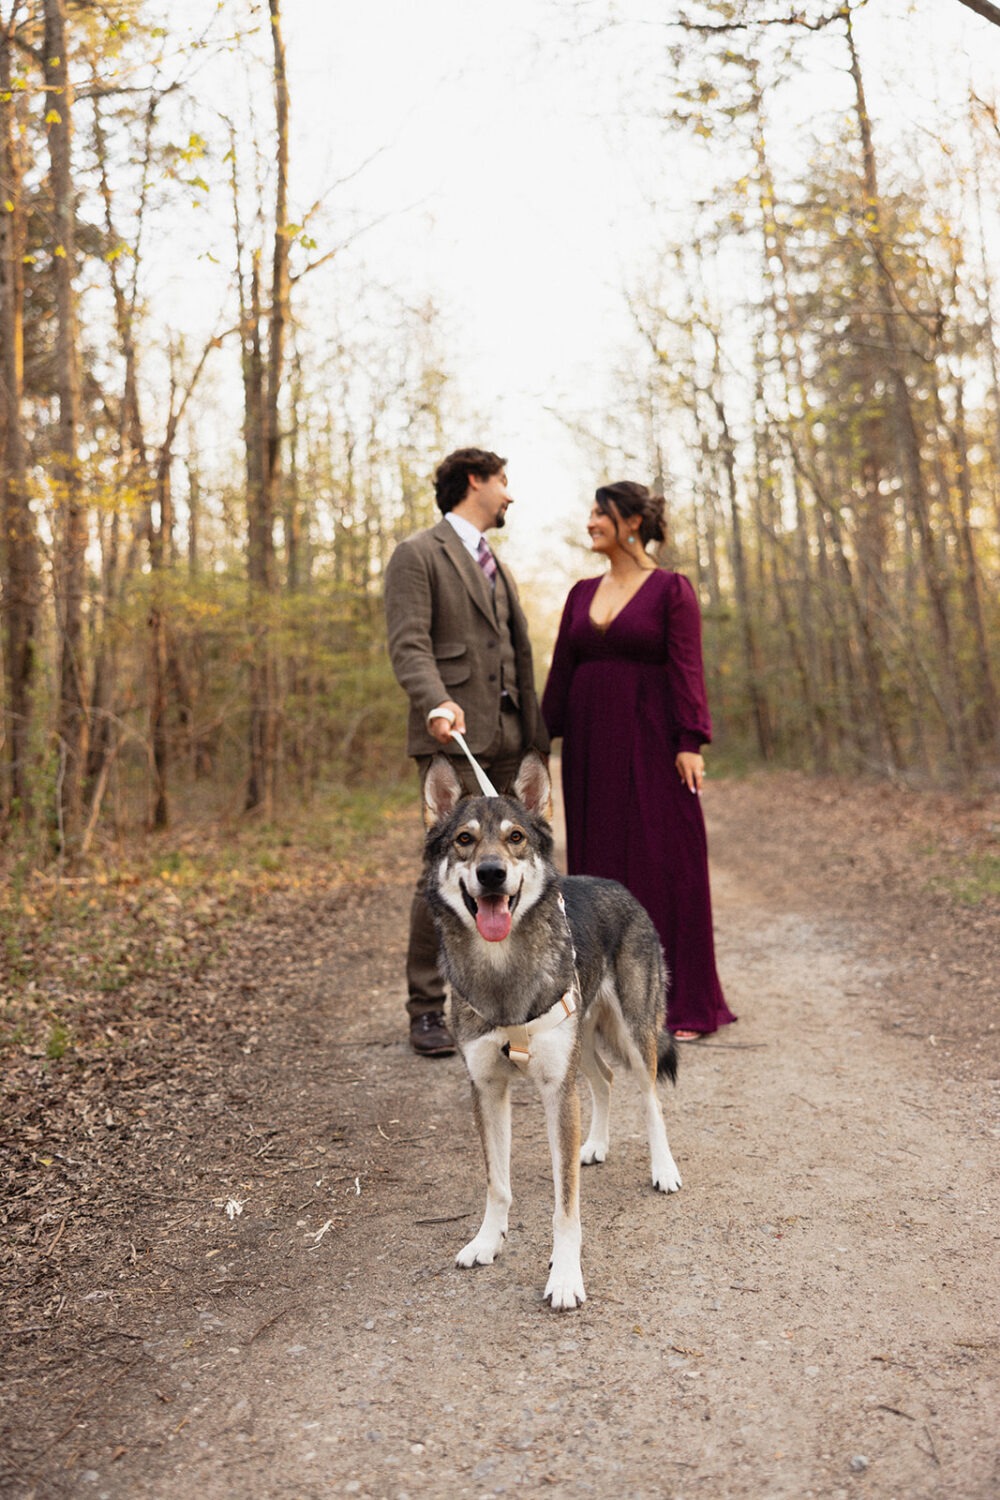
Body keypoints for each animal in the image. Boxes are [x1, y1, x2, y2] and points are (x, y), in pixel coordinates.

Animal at [422, 756, 680, 1308]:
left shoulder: (556, 1091)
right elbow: (497, 1184)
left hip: (633, 1035)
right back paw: (596, 1145)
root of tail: (618, 885)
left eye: (516, 837)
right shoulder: (488, 1089)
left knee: (650, 1098)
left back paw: (664, 1170)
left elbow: (566, 1207)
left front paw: (564, 1277)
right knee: (605, 1081)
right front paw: (487, 1241)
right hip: (583, 1045)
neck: (503, 970)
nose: (491, 874)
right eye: (464, 840)